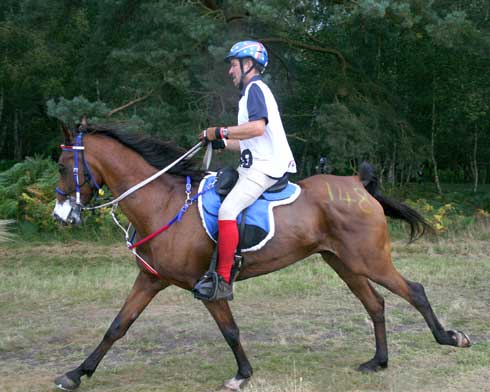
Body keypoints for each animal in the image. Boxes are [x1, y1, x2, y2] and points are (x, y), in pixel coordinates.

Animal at [51, 124, 468, 390]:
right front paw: (76, 373)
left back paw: (449, 338)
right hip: (343, 263)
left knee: (414, 290)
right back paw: (378, 361)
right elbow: (117, 326)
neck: (163, 204)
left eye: (62, 166)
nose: (61, 216)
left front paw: (242, 374)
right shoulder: (151, 279)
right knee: (376, 303)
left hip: (369, 261)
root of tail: (356, 184)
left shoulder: (206, 287)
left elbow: (230, 330)